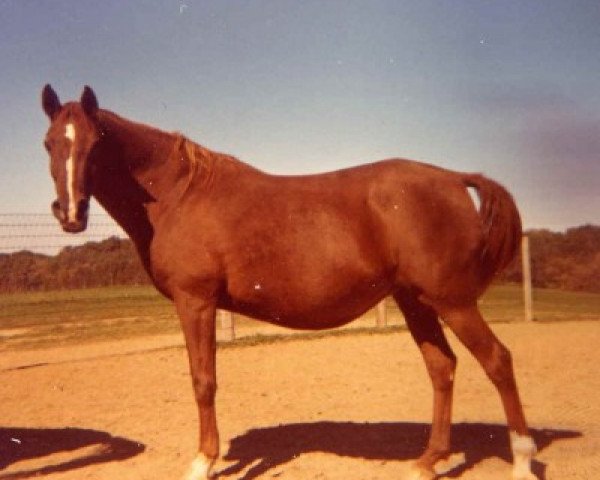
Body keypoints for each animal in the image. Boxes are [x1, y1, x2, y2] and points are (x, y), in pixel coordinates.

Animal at [42, 86, 536, 480]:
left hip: (453, 302)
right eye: (49, 144)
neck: (178, 194)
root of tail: (454, 178)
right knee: (442, 368)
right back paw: (427, 461)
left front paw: (202, 462)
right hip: (415, 301)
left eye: (95, 143)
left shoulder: (195, 301)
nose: (71, 215)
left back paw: (522, 463)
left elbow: (203, 380)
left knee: (498, 361)